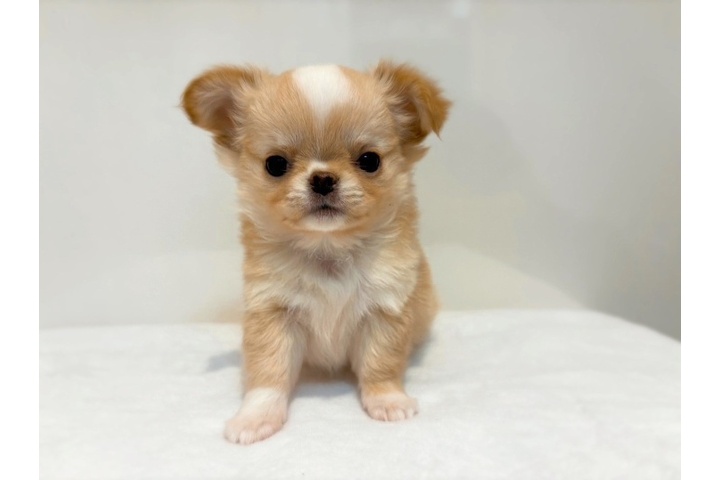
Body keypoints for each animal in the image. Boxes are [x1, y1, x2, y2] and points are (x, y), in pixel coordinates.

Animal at [182, 60, 450, 444]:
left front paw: (387, 400)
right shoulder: (272, 313)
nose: (323, 178)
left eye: (370, 161)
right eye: (275, 165)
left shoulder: (385, 311)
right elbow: (268, 371)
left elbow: (380, 364)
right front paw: (255, 417)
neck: (329, 250)